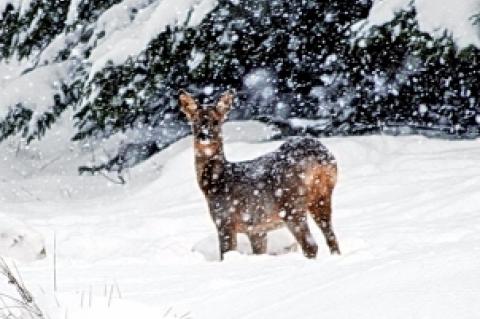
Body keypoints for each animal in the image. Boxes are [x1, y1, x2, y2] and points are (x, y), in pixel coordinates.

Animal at [178, 89, 340, 260]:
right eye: (195, 122)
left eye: (216, 121)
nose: (204, 135)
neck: (216, 182)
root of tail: (319, 156)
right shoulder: (257, 229)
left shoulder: (224, 219)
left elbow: (226, 254)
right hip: (321, 196)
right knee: (331, 237)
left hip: (291, 203)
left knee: (311, 245)